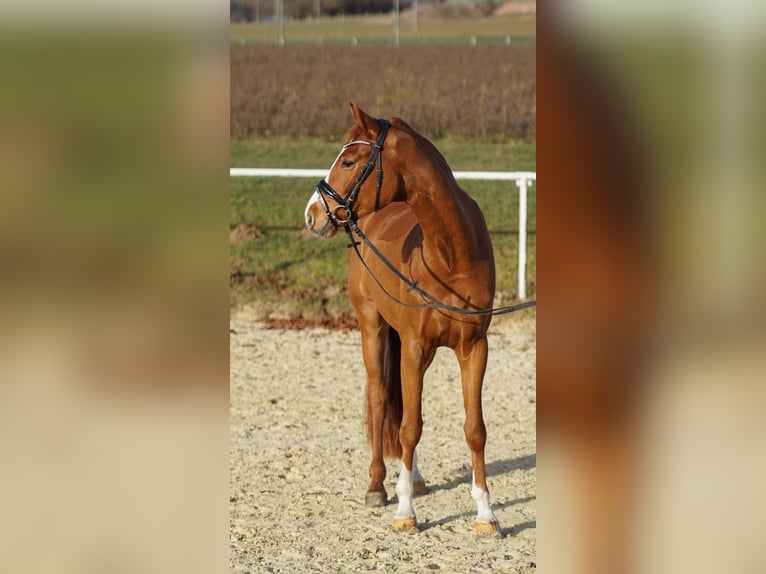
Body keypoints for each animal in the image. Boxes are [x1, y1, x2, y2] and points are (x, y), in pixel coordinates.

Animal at [304, 103, 501, 536]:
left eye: (348, 161)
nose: (311, 215)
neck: (450, 257)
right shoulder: (413, 346)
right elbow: (410, 425)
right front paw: (404, 511)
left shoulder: (473, 348)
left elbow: (474, 429)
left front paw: (486, 514)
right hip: (373, 328)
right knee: (381, 400)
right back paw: (379, 486)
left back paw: (414, 477)